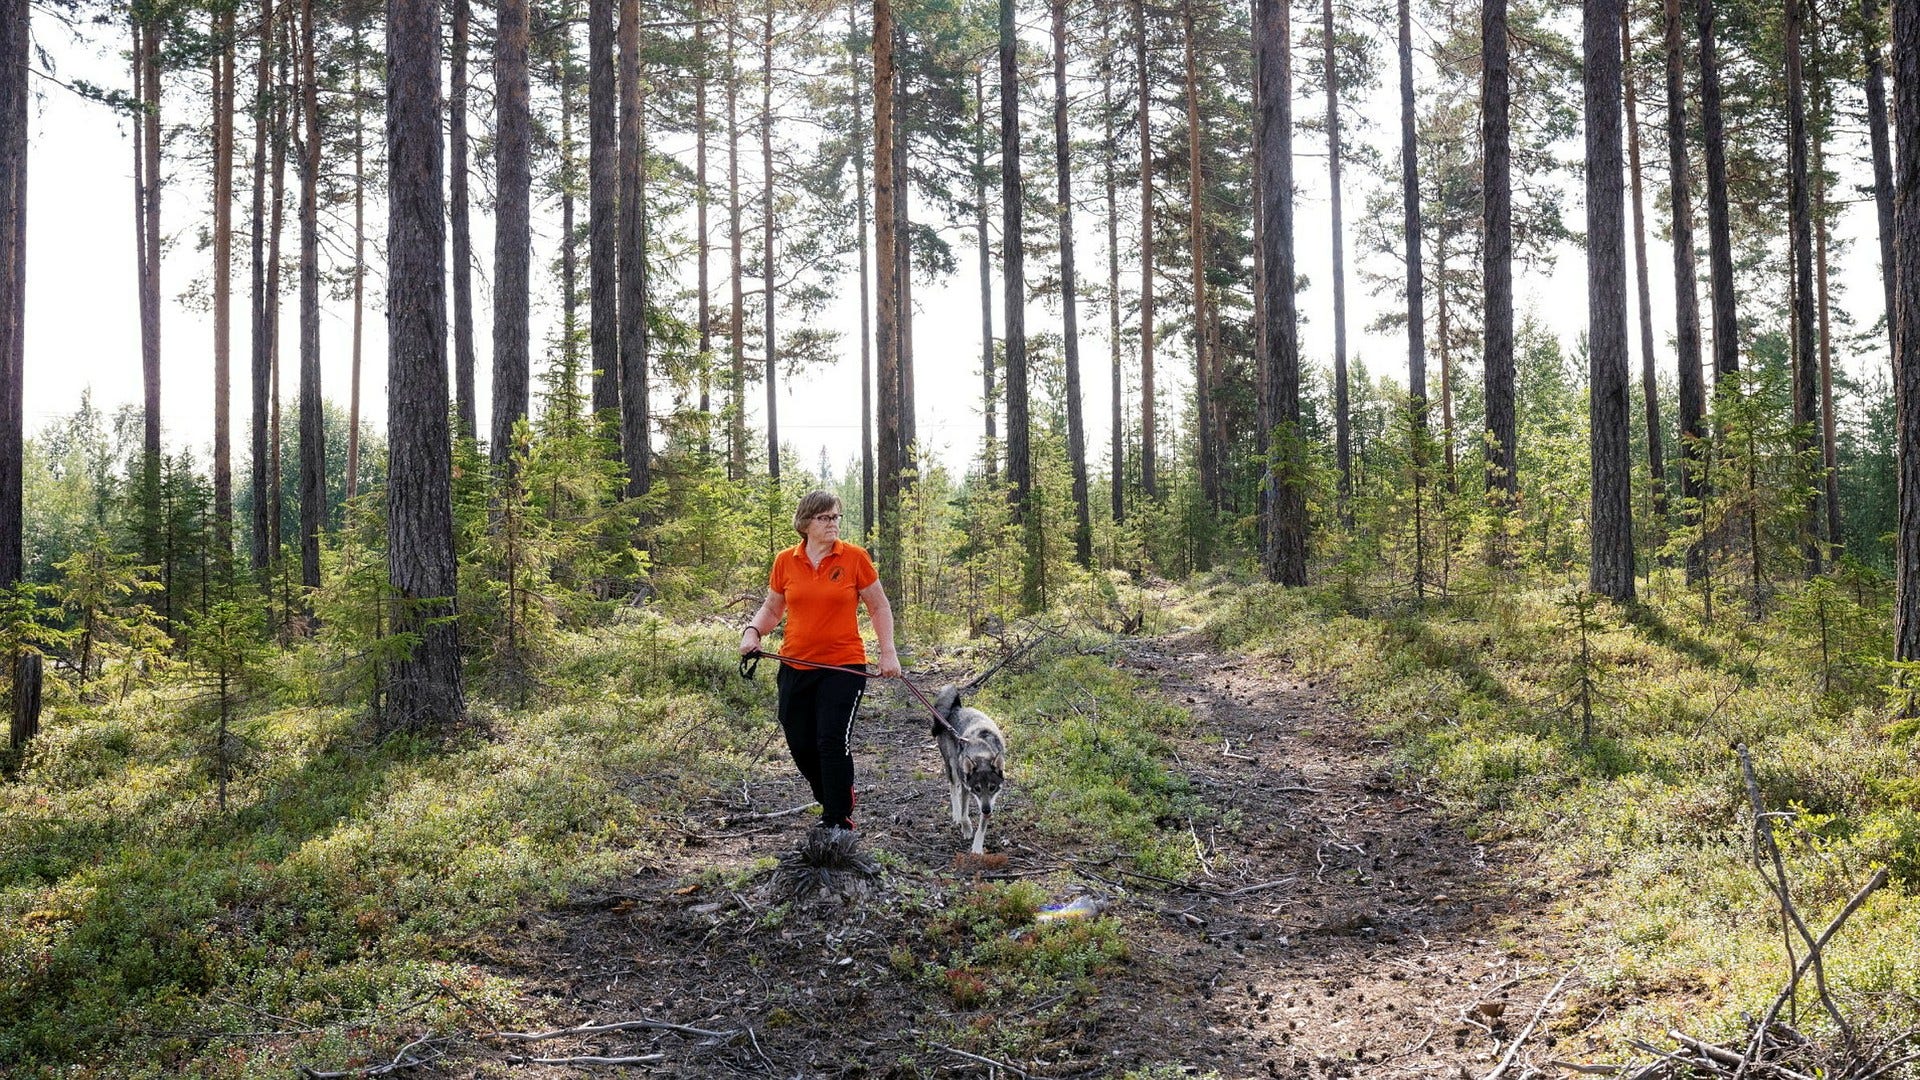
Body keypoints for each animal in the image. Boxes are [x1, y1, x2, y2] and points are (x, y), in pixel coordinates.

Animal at [929, 680, 1006, 849]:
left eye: (992, 787)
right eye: (977, 788)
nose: (986, 810)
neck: (981, 750)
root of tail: (956, 708)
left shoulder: (990, 800)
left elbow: (982, 827)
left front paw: (977, 848)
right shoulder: (967, 788)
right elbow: (965, 813)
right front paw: (966, 828)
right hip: (951, 767)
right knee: (953, 788)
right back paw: (956, 815)